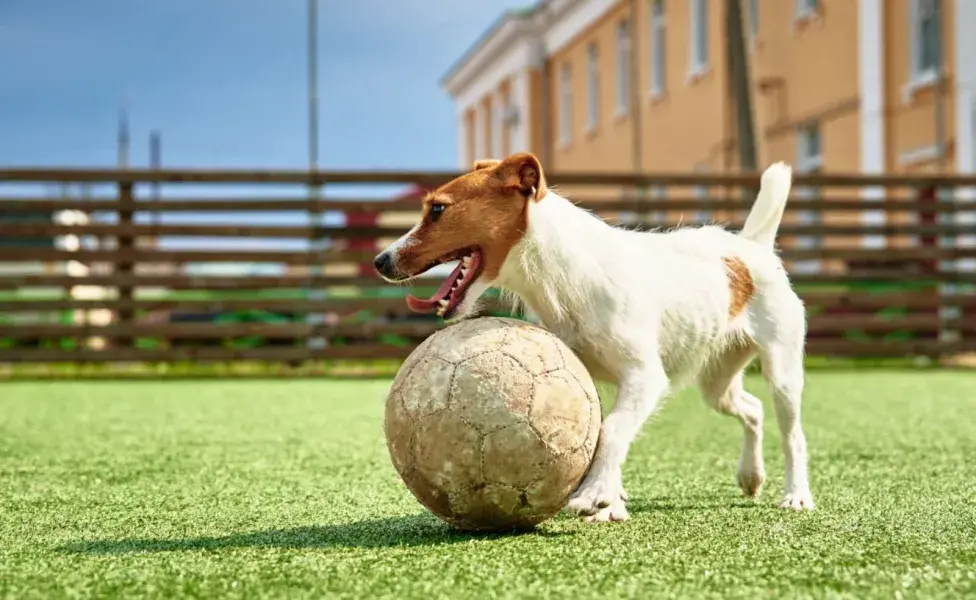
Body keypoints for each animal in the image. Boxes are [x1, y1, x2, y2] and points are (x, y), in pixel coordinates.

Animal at [370, 154, 812, 520]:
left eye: (437, 209)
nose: (380, 261)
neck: (560, 275)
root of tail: (751, 247)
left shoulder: (644, 377)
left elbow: (611, 430)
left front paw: (594, 495)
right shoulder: (586, 375)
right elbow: (603, 430)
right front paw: (611, 501)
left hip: (783, 371)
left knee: (793, 435)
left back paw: (797, 495)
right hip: (717, 382)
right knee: (753, 409)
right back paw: (751, 475)